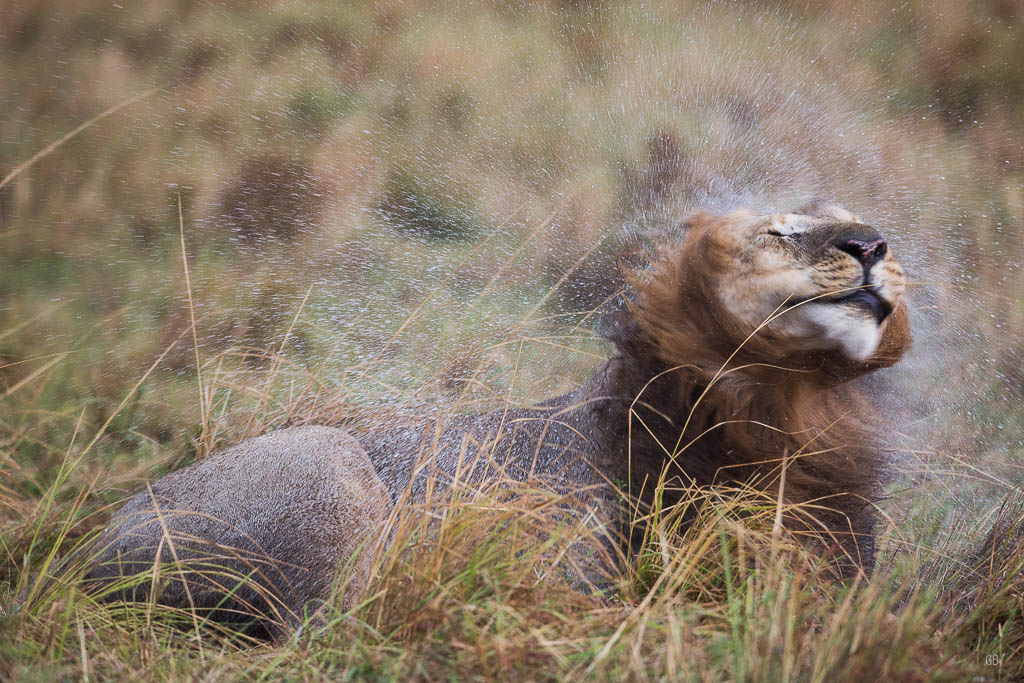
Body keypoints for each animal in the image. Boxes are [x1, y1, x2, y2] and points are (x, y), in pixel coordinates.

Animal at [83, 202, 909, 634]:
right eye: (777, 229)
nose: (871, 244)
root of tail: (83, 555)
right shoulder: (583, 578)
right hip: (329, 468)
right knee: (319, 636)